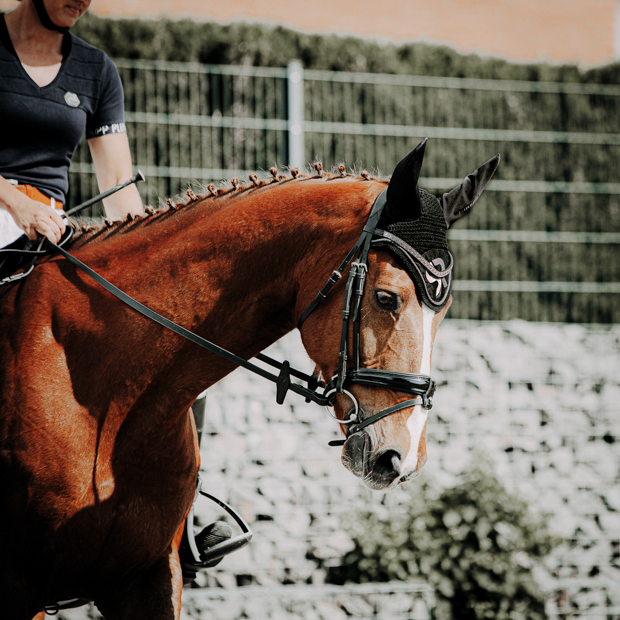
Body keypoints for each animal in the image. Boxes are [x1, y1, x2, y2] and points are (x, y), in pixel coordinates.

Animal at [0, 143, 496, 616]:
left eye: (445, 313)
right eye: (386, 298)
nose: (402, 458)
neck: (109, 397)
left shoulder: (149, 579)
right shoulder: (22, 585)